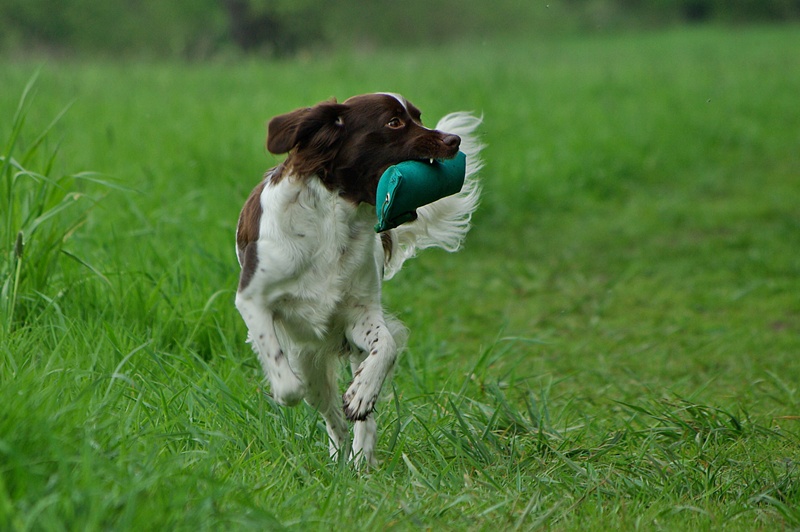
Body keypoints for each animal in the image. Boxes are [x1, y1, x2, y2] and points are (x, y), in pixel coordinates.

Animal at [231, 92, 482, 466]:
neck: (334, 222)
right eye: (394, 122)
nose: (454, 140)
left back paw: (361, 456)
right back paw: (340, 455)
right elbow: (289, 386)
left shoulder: (360, 313)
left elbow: (386, 346)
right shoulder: (252, 298)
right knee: (326, 408)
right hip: (307, 354)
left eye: (418, 116)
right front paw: (289, 394)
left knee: (362, 412)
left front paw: (361, 394)